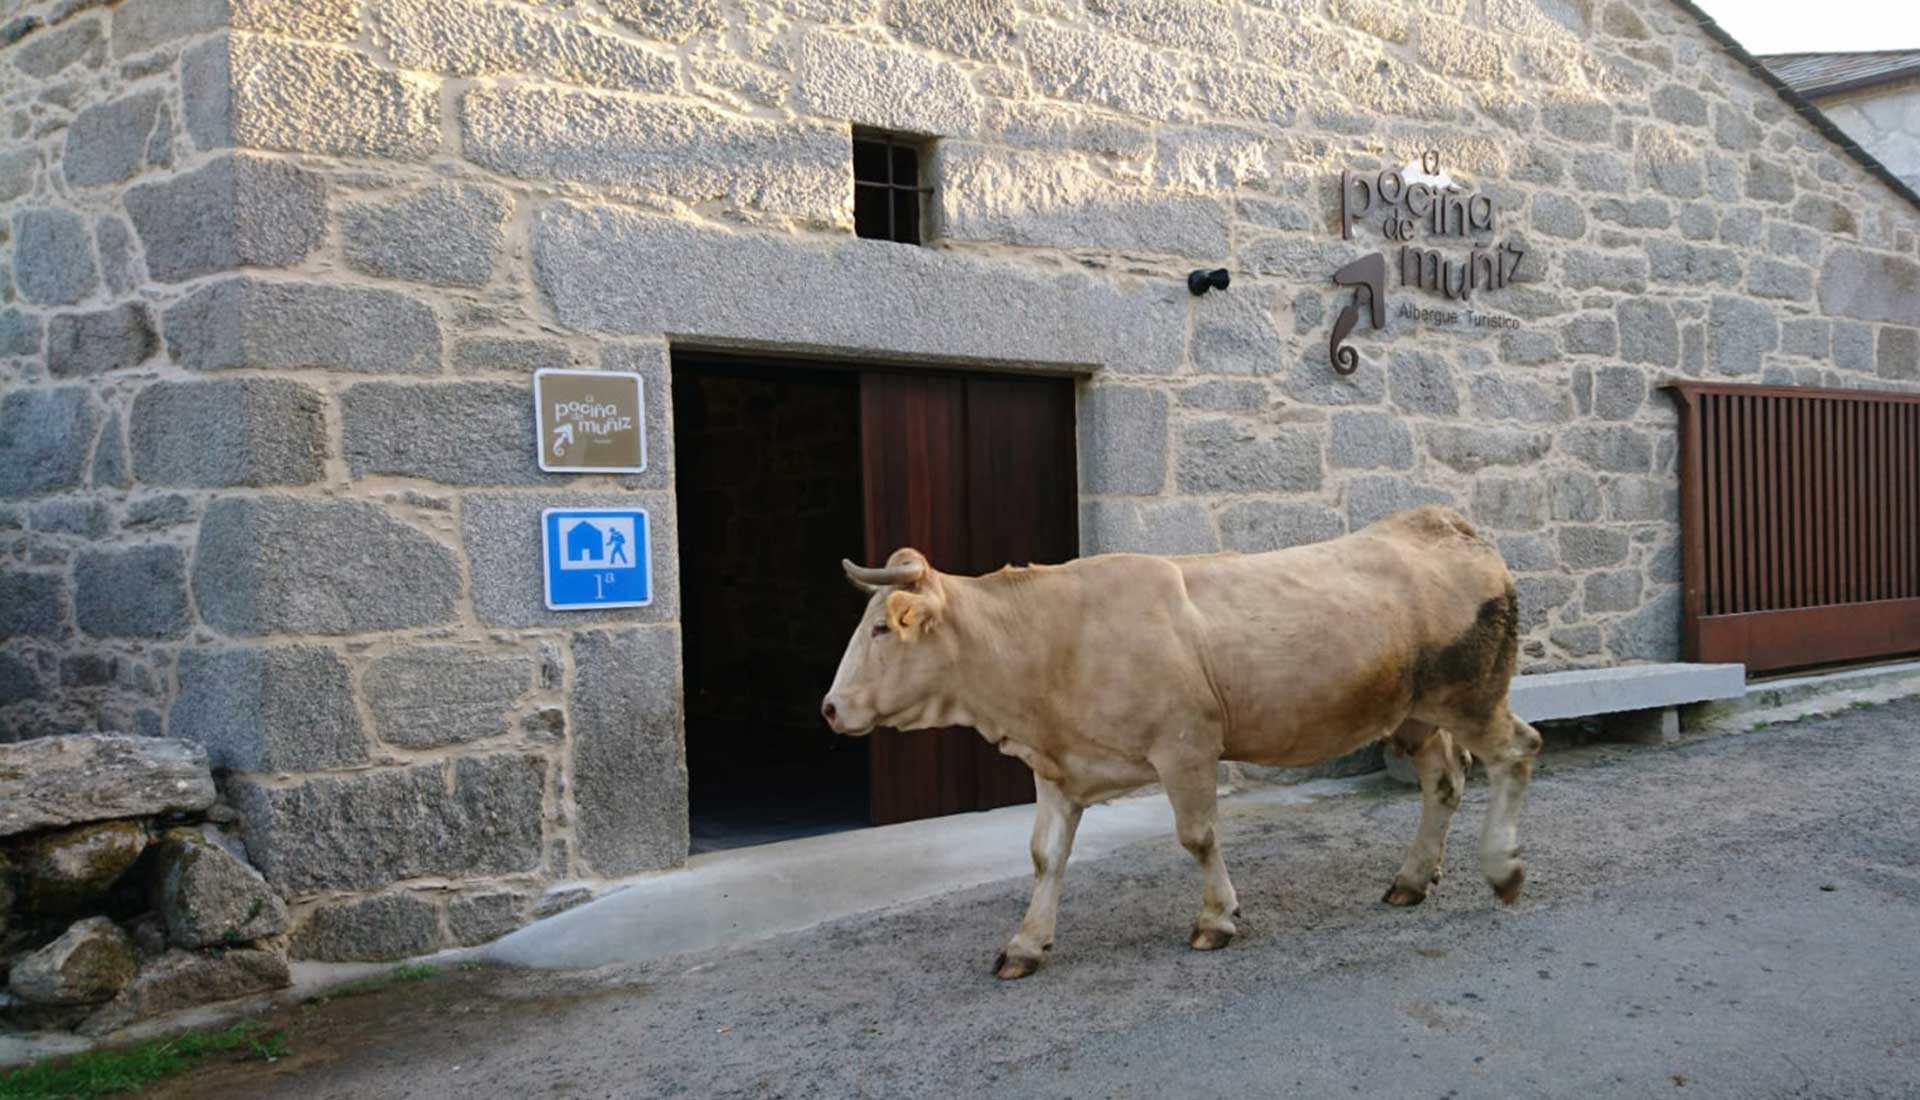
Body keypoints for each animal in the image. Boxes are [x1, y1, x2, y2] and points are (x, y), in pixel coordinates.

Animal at [817, 506, 1536, 979]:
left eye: (882, 628)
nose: (829, 708)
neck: (1050, 640)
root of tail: (1441, 524)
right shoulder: (1058, 768)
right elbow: (1046, 856)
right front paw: (1025, 944)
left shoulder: (1186, 744)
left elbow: (1198, 837)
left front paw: (1215, 920)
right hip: (1416, 713)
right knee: (1444, 781)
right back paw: (1412, 880)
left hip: (1472, 696)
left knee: (1516, 751)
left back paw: (1502, 870)